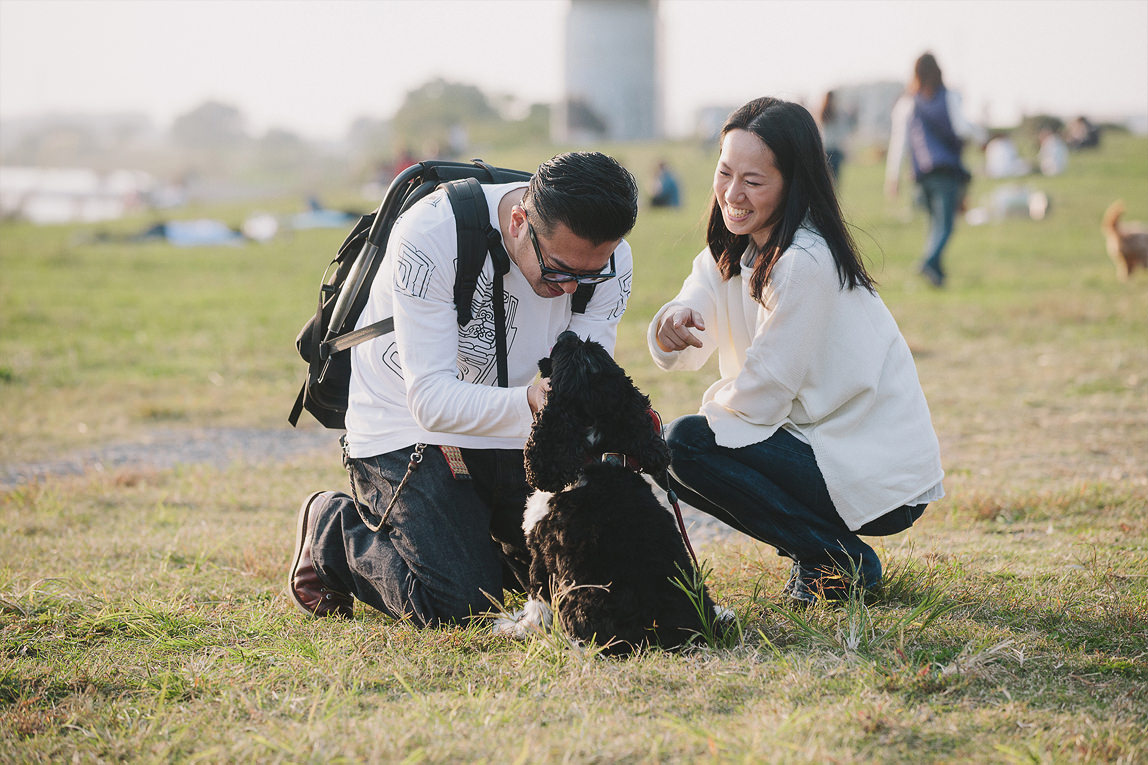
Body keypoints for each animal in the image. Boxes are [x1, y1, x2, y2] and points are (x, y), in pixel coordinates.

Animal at [493, 330, 716, 652]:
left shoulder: (541, 552)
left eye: (567, 349)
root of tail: (665, 636)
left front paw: (518, 628)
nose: (568, 332)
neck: (595, 457)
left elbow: (537, 599)